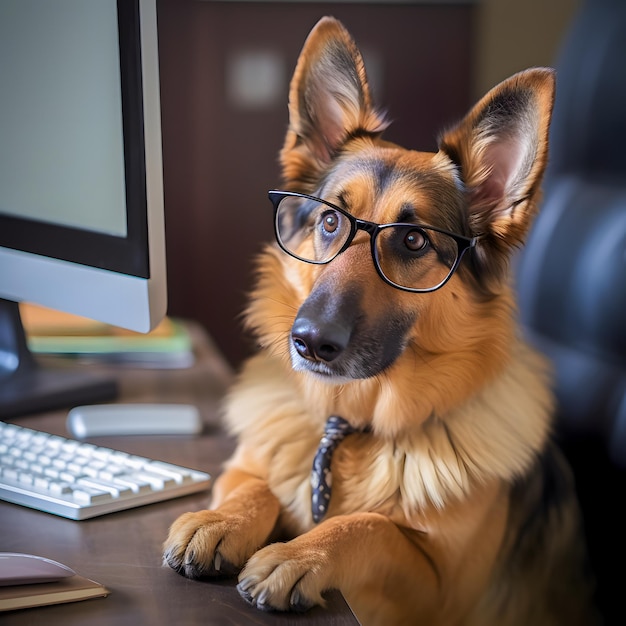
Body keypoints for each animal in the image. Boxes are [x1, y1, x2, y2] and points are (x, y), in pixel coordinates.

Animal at [163, 14, 596, 624]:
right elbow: (260, 484)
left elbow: (369, 525)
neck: (352, 424)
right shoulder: (244, 467)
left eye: (413, 240)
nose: (309, 343)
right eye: (329, 221)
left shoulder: (441, 589)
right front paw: (222, 521)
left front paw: (297, 555)